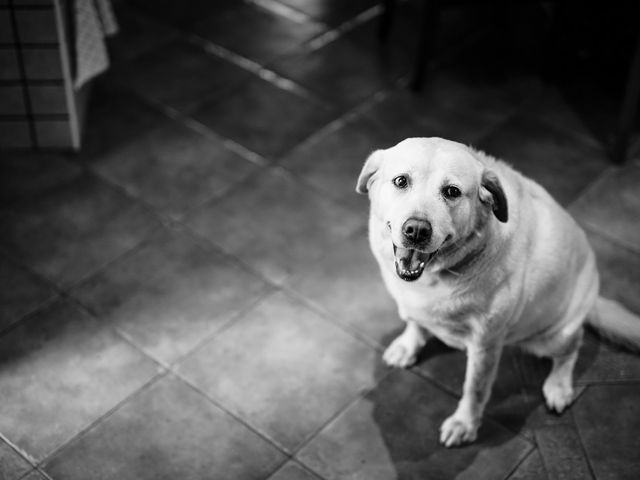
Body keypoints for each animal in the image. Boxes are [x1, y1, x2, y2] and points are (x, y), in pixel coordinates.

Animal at [356, 138, 640, 446]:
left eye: (452, 191)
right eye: (401, 181)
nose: (416, 230)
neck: (438, 275)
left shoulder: (485, 345)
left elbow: (475, 389)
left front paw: (465, 424)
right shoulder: (411, 304)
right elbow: (414, 322)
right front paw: (409, 345)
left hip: (553, 337)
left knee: (572, 348)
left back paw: (558, 386)